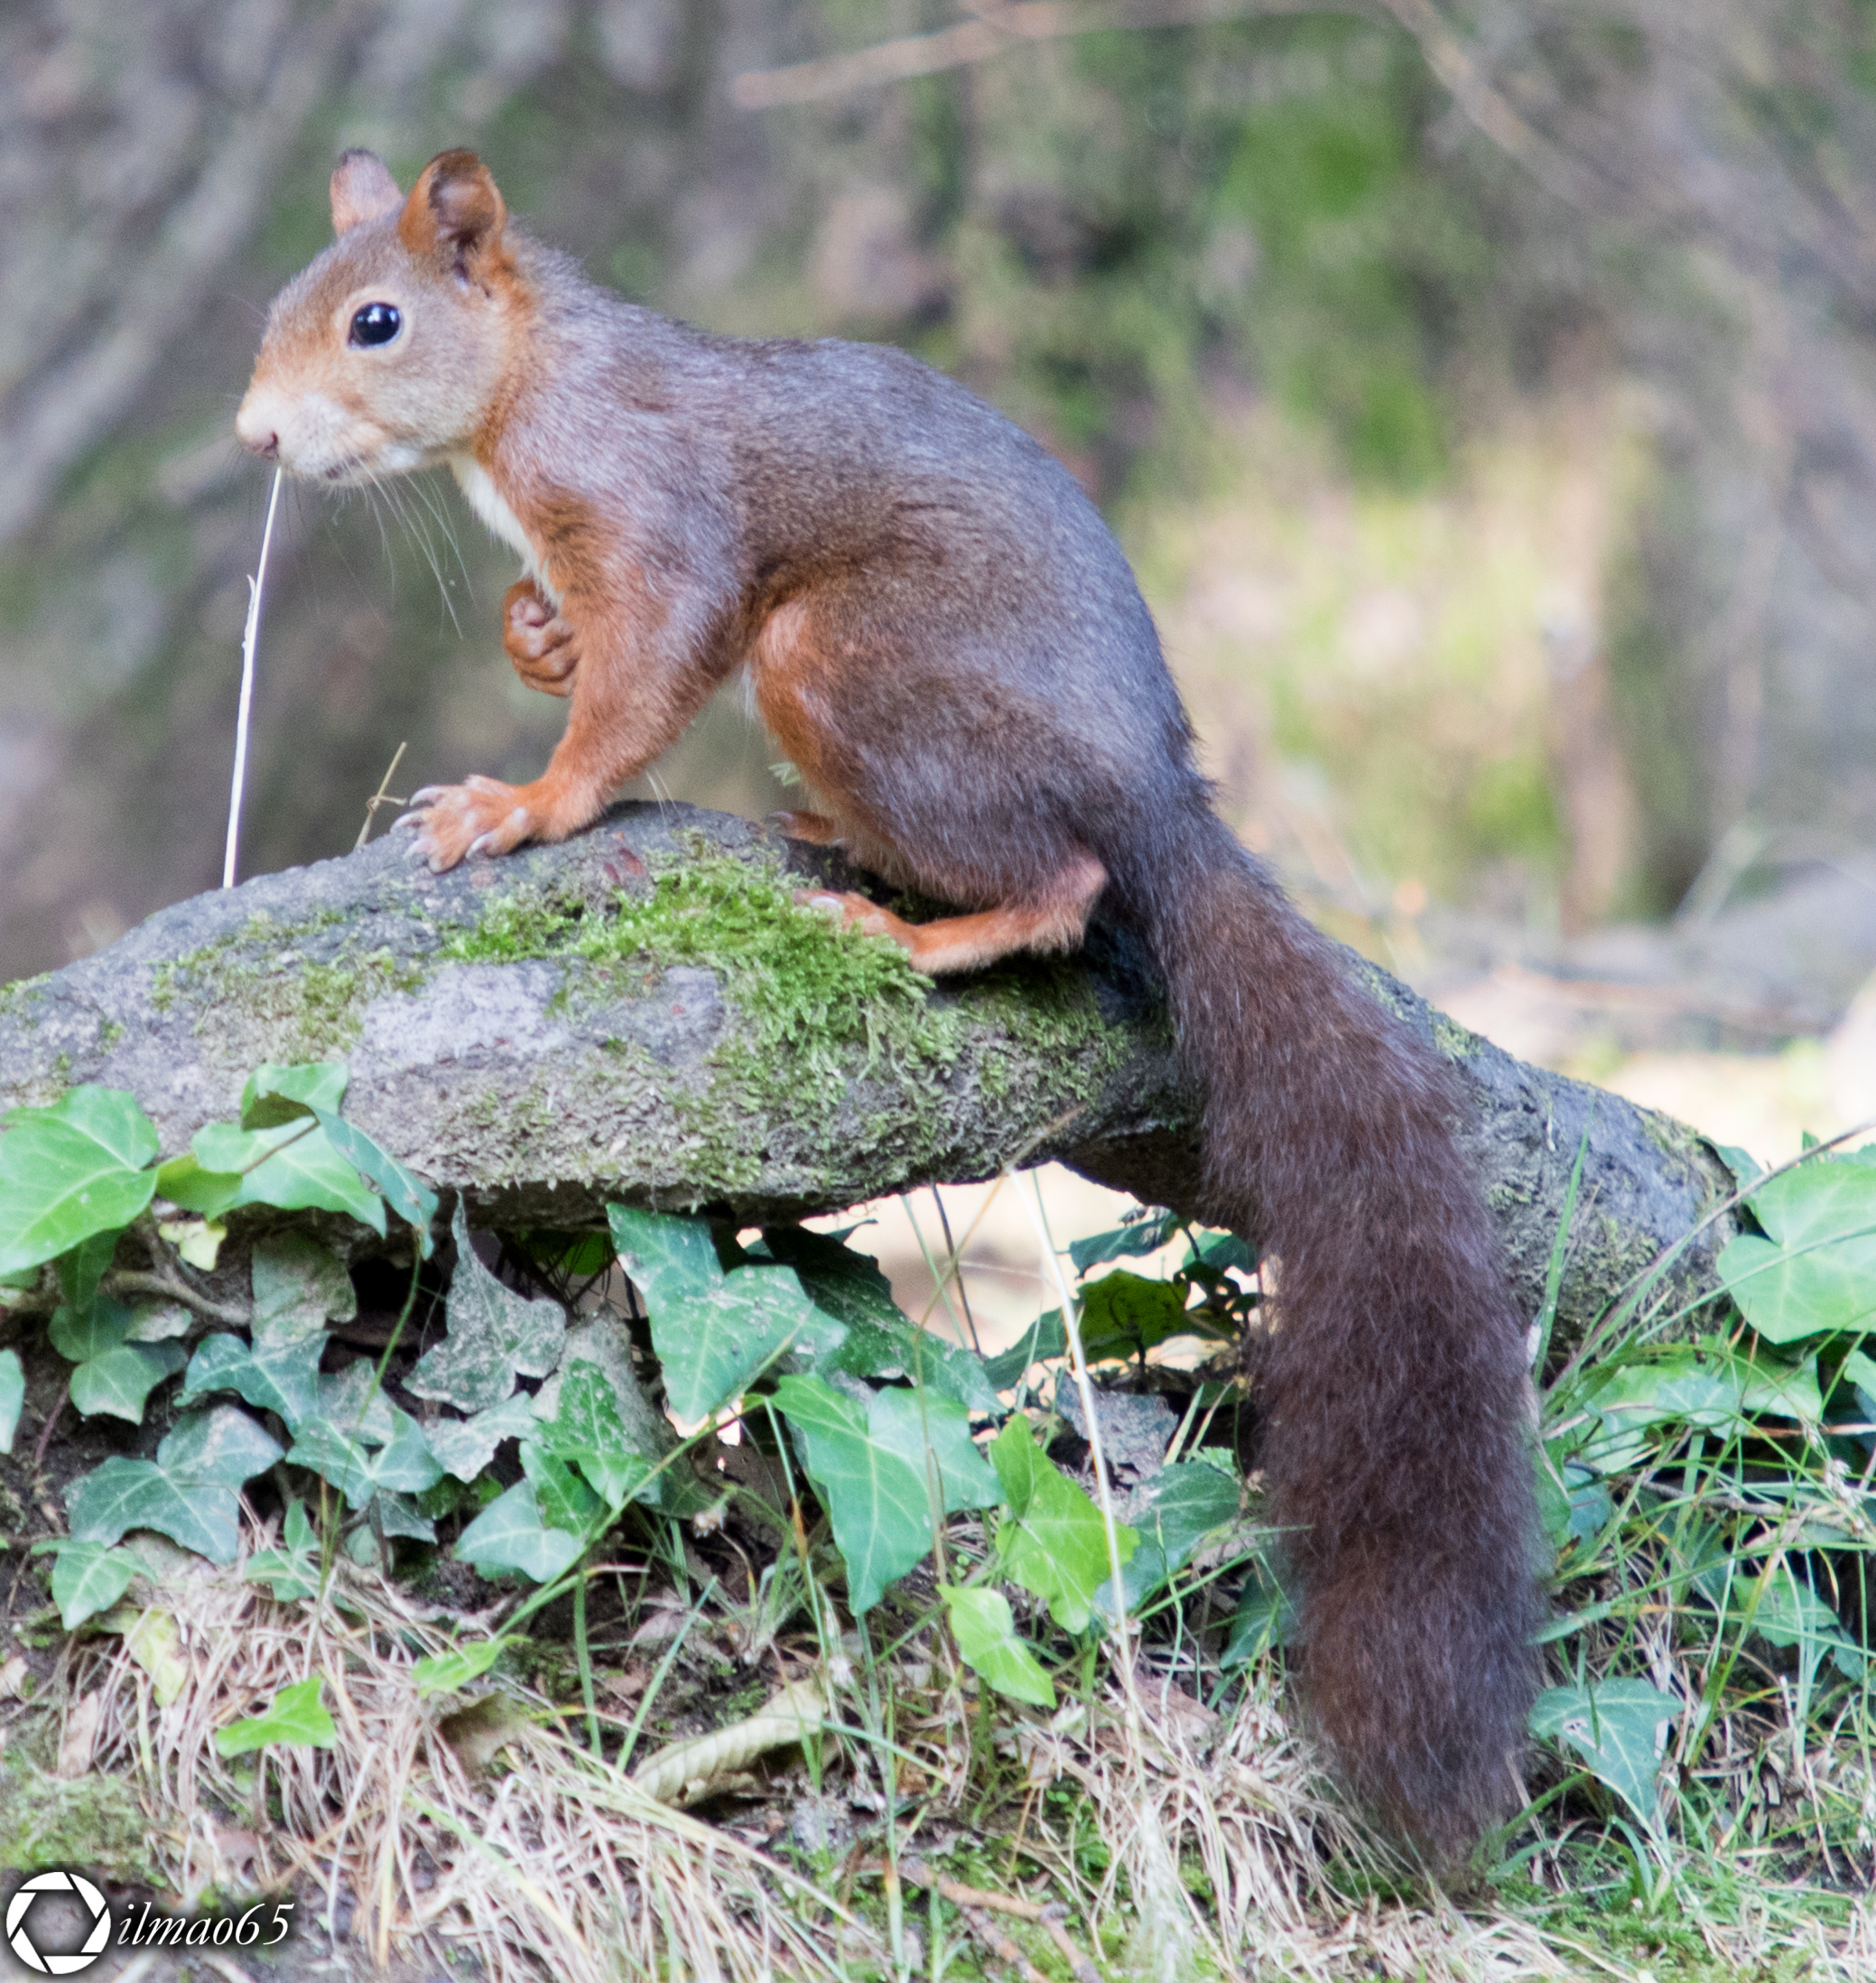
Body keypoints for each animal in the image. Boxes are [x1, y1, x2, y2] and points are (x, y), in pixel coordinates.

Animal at [237, 147, 1541, 1855]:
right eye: (282, 302)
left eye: (376, 321)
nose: (255, 433)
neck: (534, 381)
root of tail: (1152, 791)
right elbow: (577, 647)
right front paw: (531, 639)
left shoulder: (656, 516)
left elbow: (640, 684)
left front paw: (523, 805)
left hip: (839, 662)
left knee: (1063, 880)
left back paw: (912, 928)